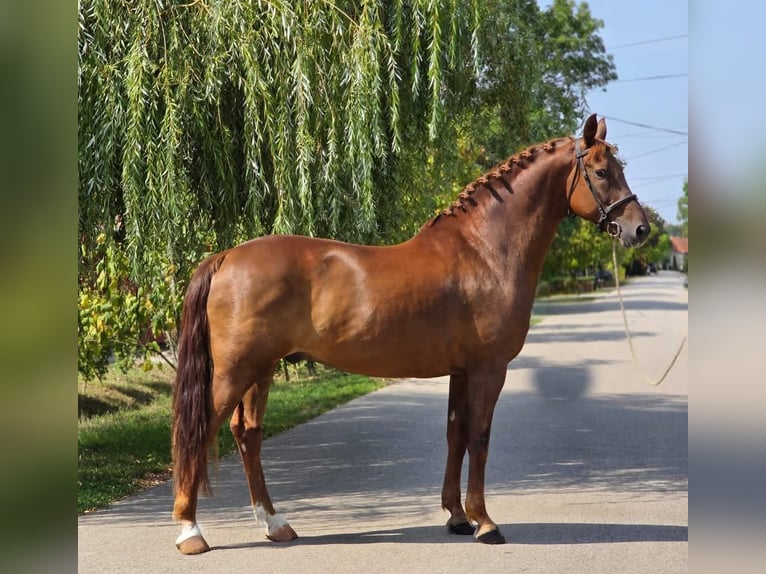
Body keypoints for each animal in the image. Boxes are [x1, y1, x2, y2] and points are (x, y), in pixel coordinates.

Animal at [171, 114, 649, 553]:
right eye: (602, 172)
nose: (639, 229)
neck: (484, 250)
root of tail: (226, 256)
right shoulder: (488, 369)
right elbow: (479, 437)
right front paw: (485, 522)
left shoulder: (461, 371)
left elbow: (456, 436)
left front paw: (457, 517)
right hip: (236, 370)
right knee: (200, 429)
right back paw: (191, 532)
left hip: (262, 370)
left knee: (247, 434)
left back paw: (275, 525)